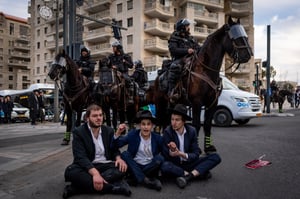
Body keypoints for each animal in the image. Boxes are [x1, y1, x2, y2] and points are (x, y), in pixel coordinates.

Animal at [151, 16, 252, 154]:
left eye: (244, 35)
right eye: (234, 37)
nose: (248, 55)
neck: (206, 70)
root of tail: (158, 78)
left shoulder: (212, 103)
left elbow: (208, 125)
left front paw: (208, 147)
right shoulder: (197, 102)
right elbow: (196, 125)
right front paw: (197, 148)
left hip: (172, 104)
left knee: (167, 121)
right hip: (160, 103)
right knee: (159, 122)